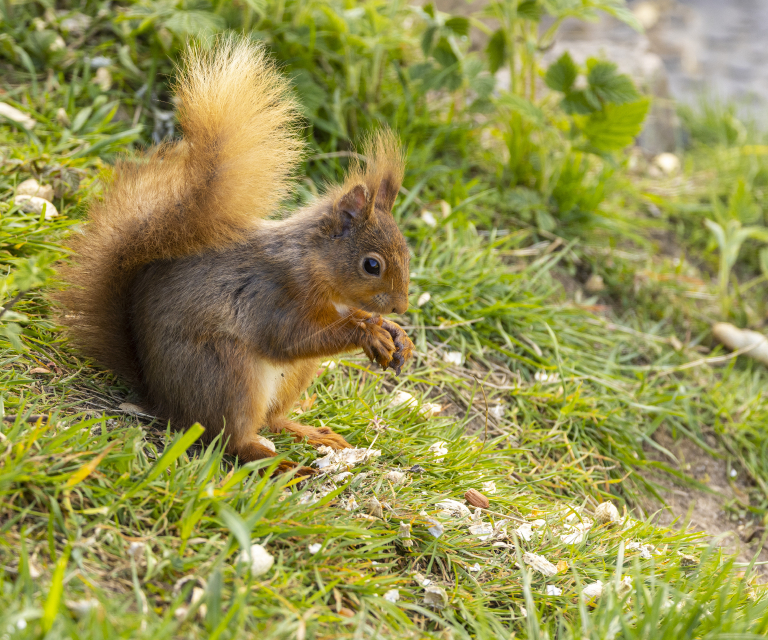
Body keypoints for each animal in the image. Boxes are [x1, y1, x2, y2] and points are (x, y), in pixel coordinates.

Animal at [55, 37, 414, 473]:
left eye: (407, 252)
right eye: (371, 265)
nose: (400, 306)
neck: (316, 268)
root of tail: (162, 398)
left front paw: (396, 335)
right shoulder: (272, 295)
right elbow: (290, 338)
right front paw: (369, 333)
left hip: (291, 377)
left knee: (272, 419)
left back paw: (308, 432)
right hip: (228, 373)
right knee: (231, 438)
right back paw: (280, 465)